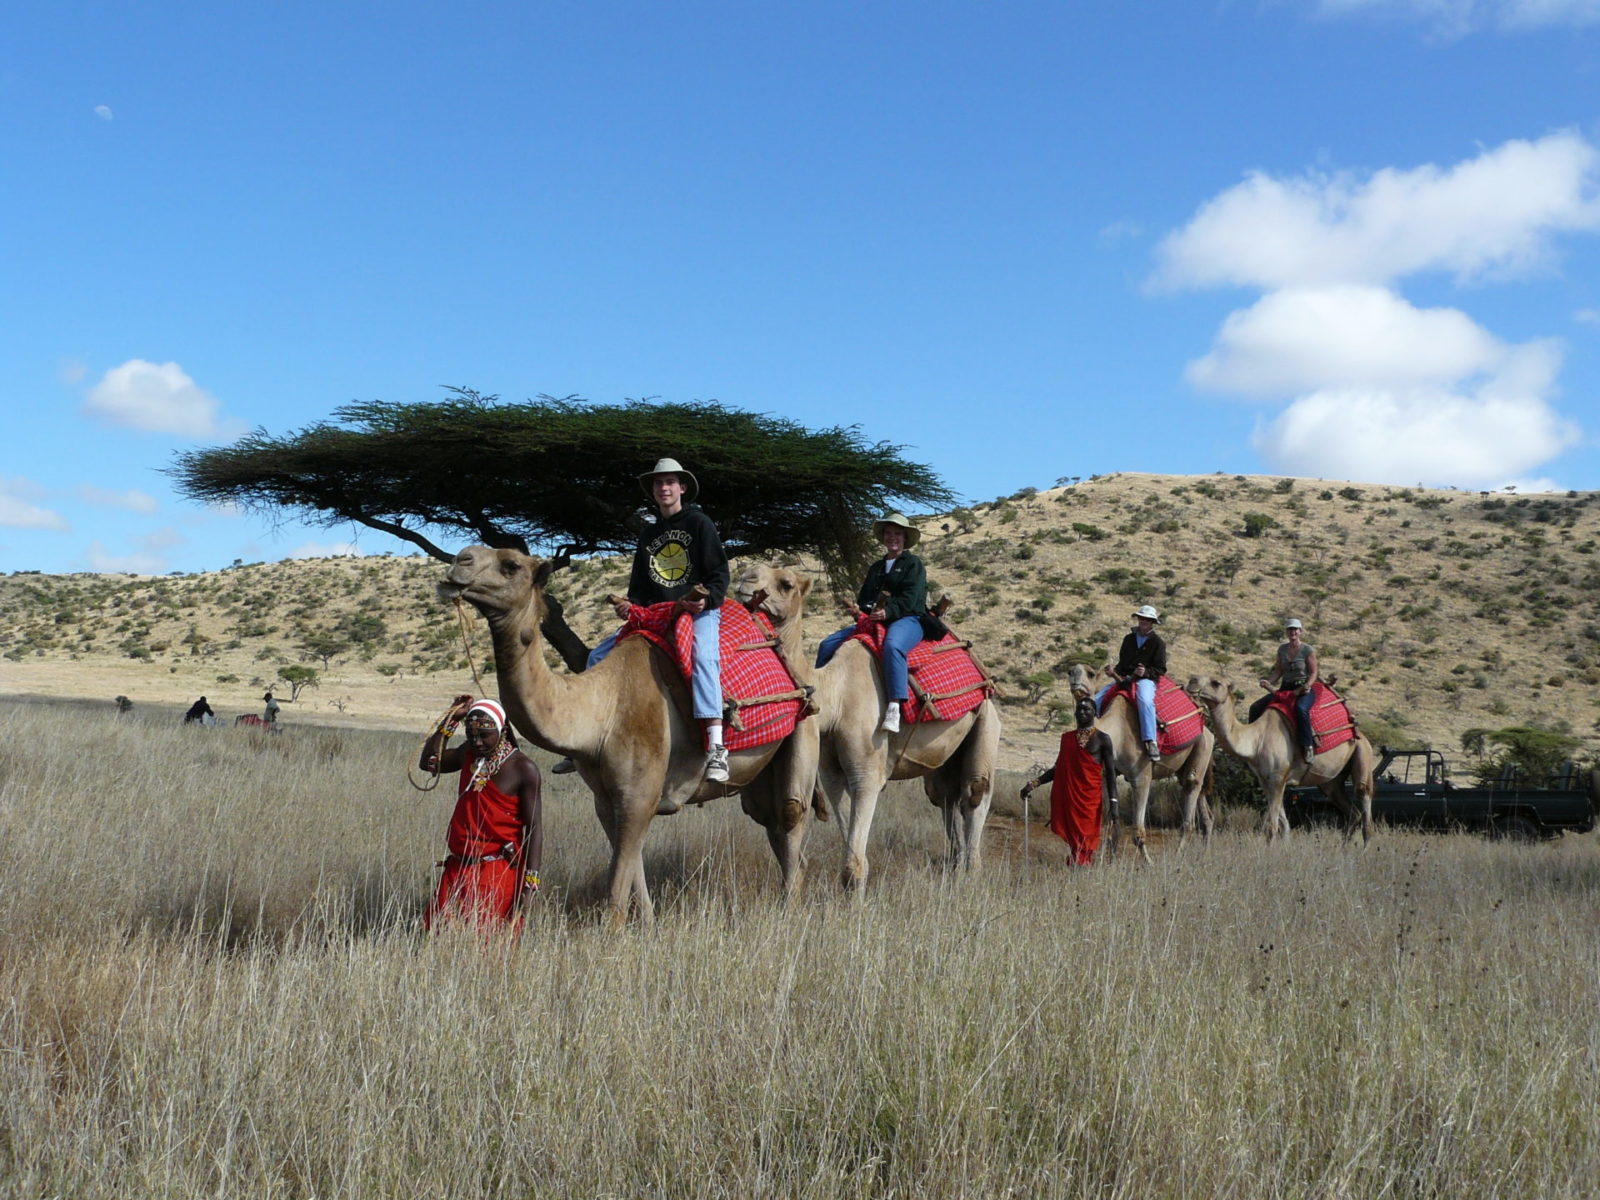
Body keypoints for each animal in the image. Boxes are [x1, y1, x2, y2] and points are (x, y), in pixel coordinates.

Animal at [439, 546, 819, 923]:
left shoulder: (640, 793)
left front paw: (615, 930)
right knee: (771, 821)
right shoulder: (606, 799)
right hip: (761, 770)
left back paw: (790, 907)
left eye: (511, 565)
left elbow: (617, 886)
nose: (460, 560)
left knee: (790, 814)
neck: (600, 714)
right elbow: (631, 866)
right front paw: (649, 924)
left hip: (805, 726)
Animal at [740, 564, 998, 890]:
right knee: (944, 795)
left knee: (975, 789)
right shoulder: (831, 771)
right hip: (945, 752)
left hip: (987, 716)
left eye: (786, 583)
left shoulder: (868, 764)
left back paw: (971, 876)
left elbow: (854, 862)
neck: (835, 697)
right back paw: (955, 870)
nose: (745, 577)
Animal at [1065, 664, 1215, 862]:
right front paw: (1105, 860)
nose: (1075, 677)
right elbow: (1108, 822)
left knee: (1191, 796)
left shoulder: (1141, 776)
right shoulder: (1107, 773)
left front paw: (1148, 863)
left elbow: (1137, 830)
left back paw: (1177, 857)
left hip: (1203, 746)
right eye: (1069, 671)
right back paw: (1203, 855)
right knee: (1202, 806)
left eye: (1090, 673)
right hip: (1188, 764)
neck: (1117, 733)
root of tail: (1207, 729)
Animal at [1185, 675, 1375, 843]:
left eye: (1216, 682)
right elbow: (1284, 826)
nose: (1192, 681)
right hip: (1331, 782)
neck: (1256, 740)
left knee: (1365, 805)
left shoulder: (1278, 778)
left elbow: (1272, 827)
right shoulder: (1266, 780)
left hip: (1363, 753)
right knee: (1353, 813)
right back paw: (1344, 849)